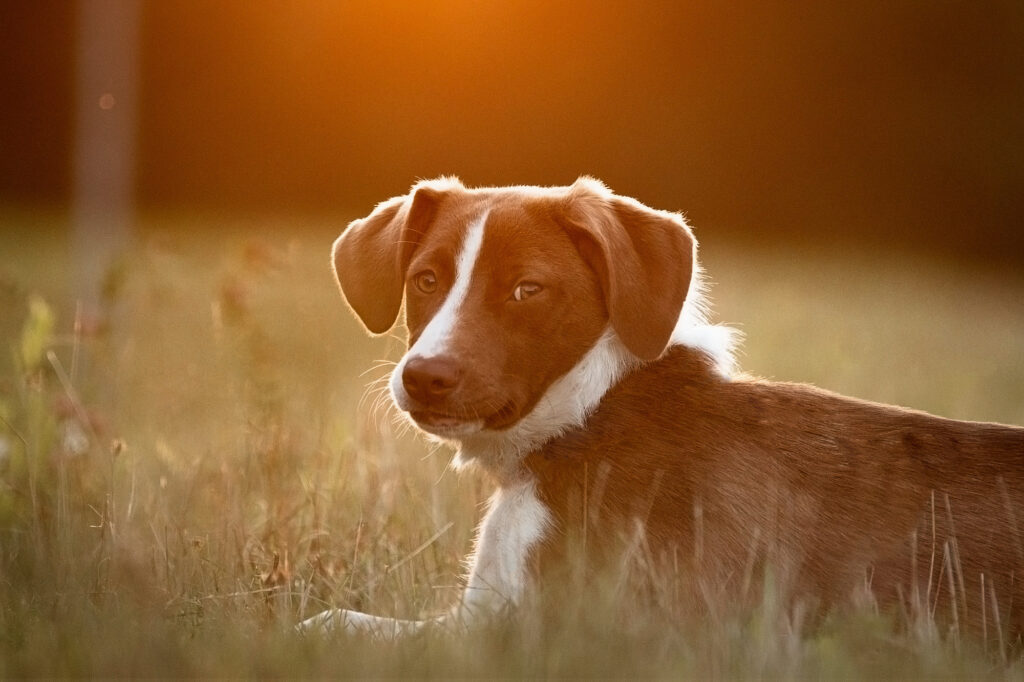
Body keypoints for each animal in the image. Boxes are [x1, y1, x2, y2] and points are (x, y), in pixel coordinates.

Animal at [300, 177, 1024, 642]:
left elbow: (337, 625)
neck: (589, 414)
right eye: (425, 279)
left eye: (527, 289)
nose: (425, 378)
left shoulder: (589, 628)